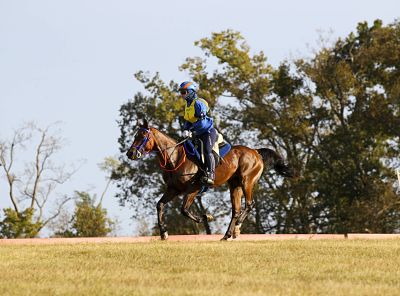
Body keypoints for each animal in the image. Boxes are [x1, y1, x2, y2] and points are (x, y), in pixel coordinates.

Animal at [126, 119, 296, 239]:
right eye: (135, 135)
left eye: (142, 136)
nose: (130, 153)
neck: (176, 157)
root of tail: (256, 151)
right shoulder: (173, 189)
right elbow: (160, 205)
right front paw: (163, 233)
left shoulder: (194, 188)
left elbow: (184, 209)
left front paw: (205, 217)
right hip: (234, 185)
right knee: (236, 210)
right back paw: (227, 235)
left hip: (247, 181)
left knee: (249, 204)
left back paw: (237, 229)